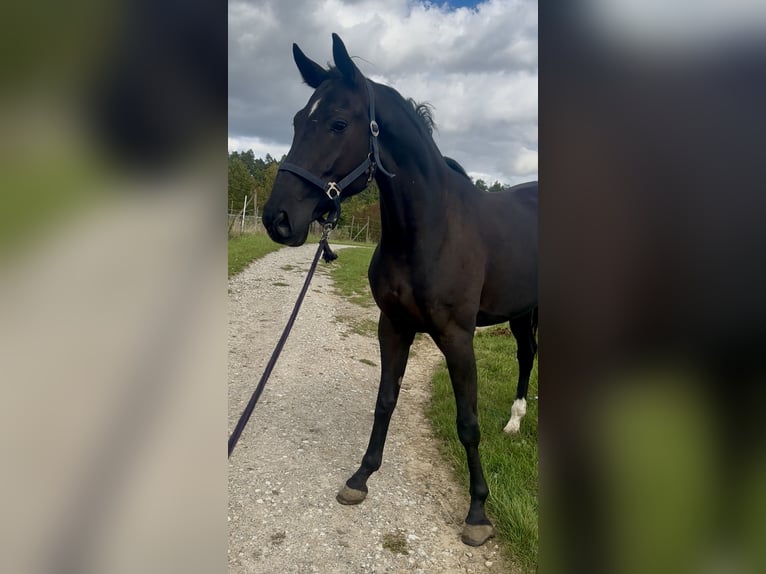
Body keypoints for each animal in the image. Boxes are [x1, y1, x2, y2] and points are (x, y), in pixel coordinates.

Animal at [262, 33, 538, 547]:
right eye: (295, 121)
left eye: (338, 122)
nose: (278, 219)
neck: (429, 229)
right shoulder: (392, 327)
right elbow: (385, 400)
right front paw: (361, 477)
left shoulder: (457, 337)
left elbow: (467, 423)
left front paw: (477, 512)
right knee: (527, 355)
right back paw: (514, 423)